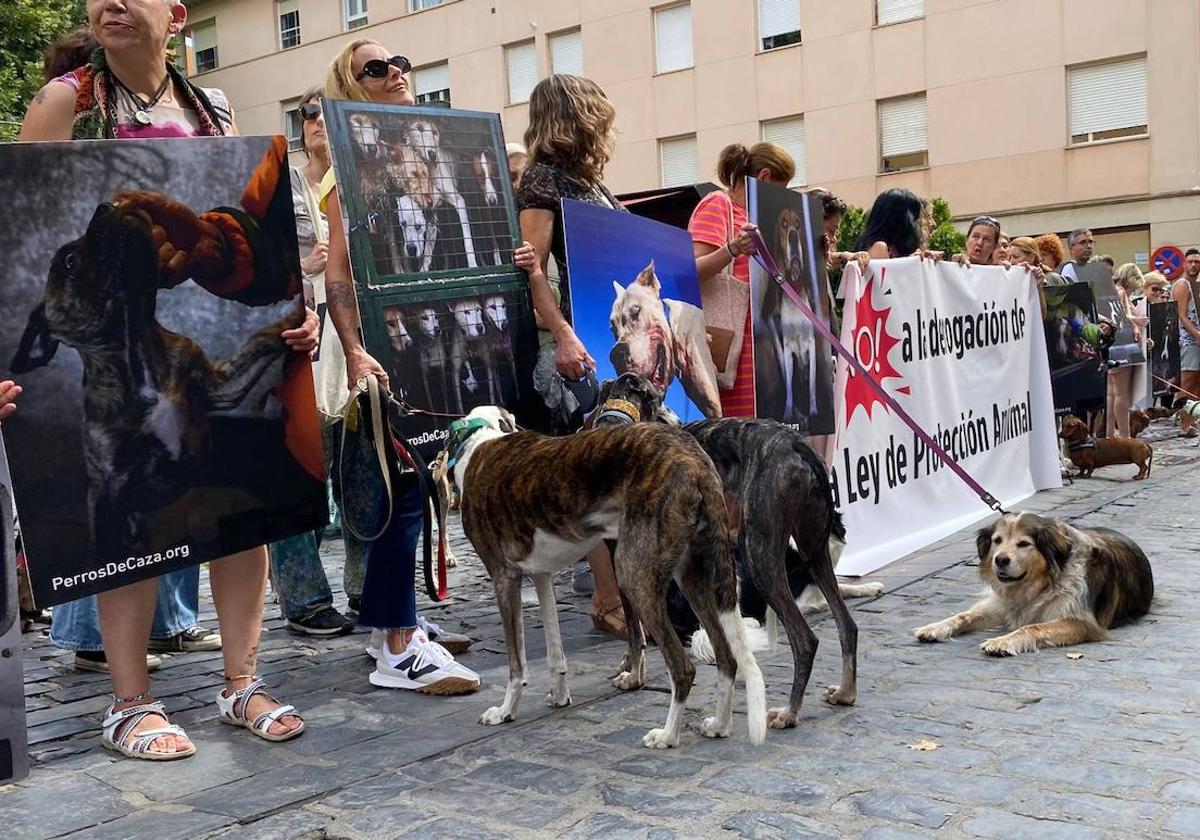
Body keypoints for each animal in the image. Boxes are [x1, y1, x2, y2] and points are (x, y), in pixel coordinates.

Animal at [451, 410, 768, 753]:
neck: (481, 443)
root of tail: (694, 458)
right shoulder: (541, 574)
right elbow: (554, 650)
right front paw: (559, 696)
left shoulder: (504, 577)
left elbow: (516, 663)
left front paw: (505, 711)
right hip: (694, 578)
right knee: (726, 657)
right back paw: (720, 725)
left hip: (634, 577)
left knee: (683, 668)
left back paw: (668, 735)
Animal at [916, 511, 1152, 657]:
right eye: (997, 540)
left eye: (1023, 544)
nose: (1000, 560)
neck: (1038, 585)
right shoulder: (1002, 605)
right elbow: (963, 616)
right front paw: (934, 628)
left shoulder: (1082, 622)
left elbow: (1032, 626)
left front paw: (1002, 642)